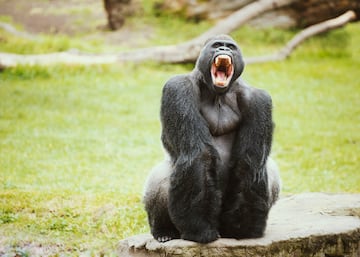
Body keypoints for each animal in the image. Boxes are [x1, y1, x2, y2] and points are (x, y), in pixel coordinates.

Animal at [143, 34, 282, 242]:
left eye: (230, 48)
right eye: (216, 46)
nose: (223, 51)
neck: (218, 94)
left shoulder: (259, 99)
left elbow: (249, 161)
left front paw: (243, 227)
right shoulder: (178, 88)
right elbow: (200, 155)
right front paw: (199, 228)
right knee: (160, 175)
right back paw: (163, 230)